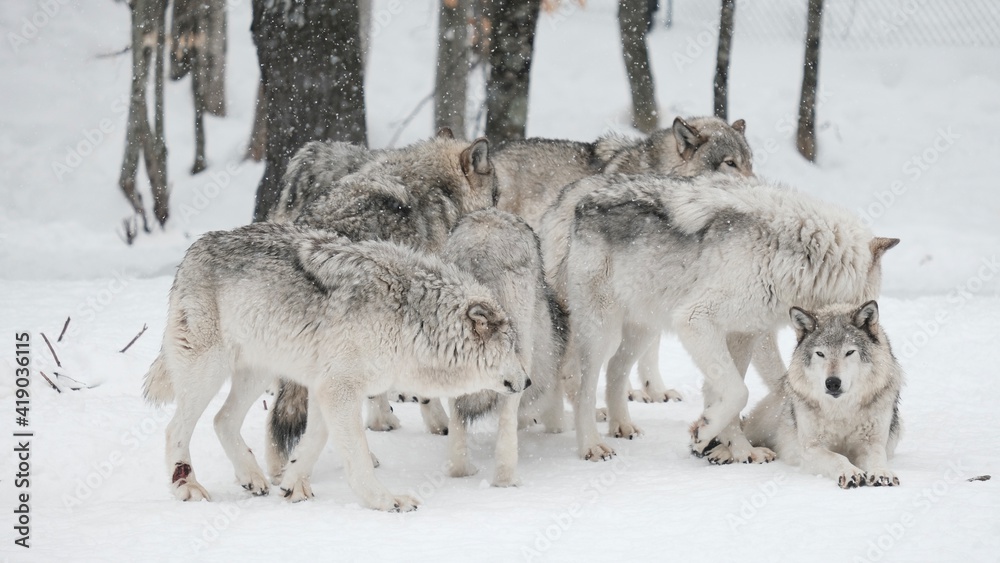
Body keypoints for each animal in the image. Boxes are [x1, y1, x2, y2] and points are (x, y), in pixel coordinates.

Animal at [142, 223, 529, 511]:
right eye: (513, 346)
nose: (526, 382)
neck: (410, 318)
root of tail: (195, 248)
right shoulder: (339, 389)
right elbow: (357, 454)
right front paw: (386, 501)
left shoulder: (324, 388)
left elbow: (315, 440)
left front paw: (292, 485)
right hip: (208, 371)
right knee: (175, 429)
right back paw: (187, 487)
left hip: (259, 371)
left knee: (222, 419)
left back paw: (252, 476)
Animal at [440, 209, 568, 487]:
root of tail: (479, 247)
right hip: (521, 358)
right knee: (509, 410)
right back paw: (506, 478)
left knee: (457, 413)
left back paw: (462, 469)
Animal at [561, 173, 899, 463]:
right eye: (871, 302)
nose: (877, 330)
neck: (794, 256)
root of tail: (583, 202)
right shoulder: (695, 319)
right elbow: (739, 391)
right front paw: (706, 433)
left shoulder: (742, 335)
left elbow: (732, 393)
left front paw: (738, 450)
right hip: (603, 331)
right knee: (584, 389)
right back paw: (592, 446)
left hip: (643, 329)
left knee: (616, 371)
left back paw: (623, 427)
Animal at [743, 301, 903, 488]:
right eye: (820, 353)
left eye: (849, 352)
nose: (832, 382)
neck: (841, 411)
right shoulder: (811, 448)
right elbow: (836, 457)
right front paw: (850, 472)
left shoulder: (873, 442)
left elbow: (878, 456)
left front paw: (882, 473)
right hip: (764, 424)